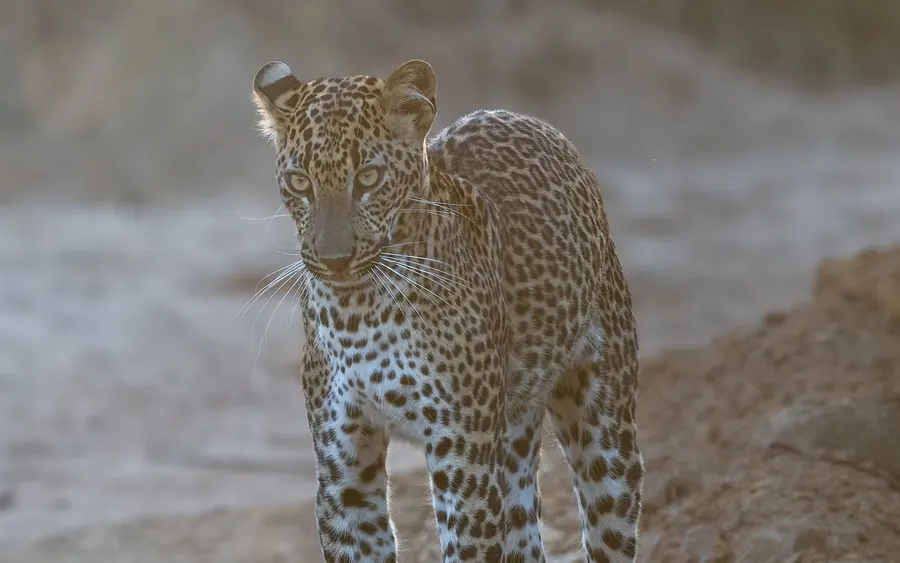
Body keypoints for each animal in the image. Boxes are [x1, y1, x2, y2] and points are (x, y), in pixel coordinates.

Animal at [250, 58, 644, 563]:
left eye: (369, 178)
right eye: (301, 182)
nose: (334, 259)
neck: (358, 312)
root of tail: (521, 116)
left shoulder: (463, 461)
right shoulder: (343, 472)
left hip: (604, 432)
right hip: (511, 439)